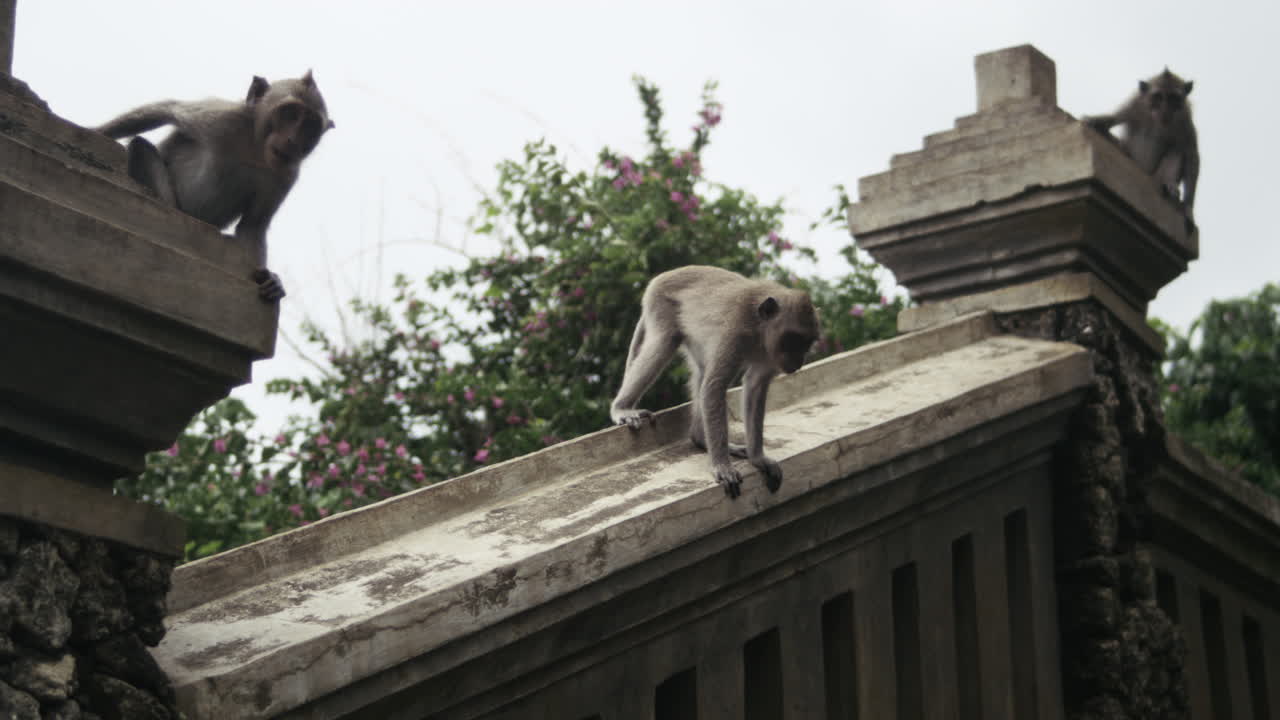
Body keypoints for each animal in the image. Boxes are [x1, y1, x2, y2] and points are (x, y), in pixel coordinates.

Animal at [95, 71, 335, 302]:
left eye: (309, 126)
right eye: (289, 113)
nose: (292, 141)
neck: (255, 149)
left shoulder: (286, 174)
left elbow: (253, 226)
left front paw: (271, 281)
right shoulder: (220, 118)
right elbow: (165, 111)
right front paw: (95, 132)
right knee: (140, 147)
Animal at [610, 266, 820, 498]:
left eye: (807, 342)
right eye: (793, 339)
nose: (798, 361)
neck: (758, 328)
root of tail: (662, 276)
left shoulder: (770, 354)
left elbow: (755, 384)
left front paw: (758, 459)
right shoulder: (735, 330)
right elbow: (714, 387)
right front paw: (722, 466)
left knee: (701, 369)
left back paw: (700, 439)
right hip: (661, 304)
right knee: (664, 343)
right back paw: (621, 408)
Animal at [1085, 68, 1199, 225]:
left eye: (1173, 98)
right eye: (1158, 97)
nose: (1165, 111)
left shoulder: (1185, 120)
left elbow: (1191, 155)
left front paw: (1188, 207)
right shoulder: (1135, 104)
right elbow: (1116, 118)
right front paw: (1097, 121)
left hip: (1155, 175)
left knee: (1176, 151)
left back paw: (1168, 183)